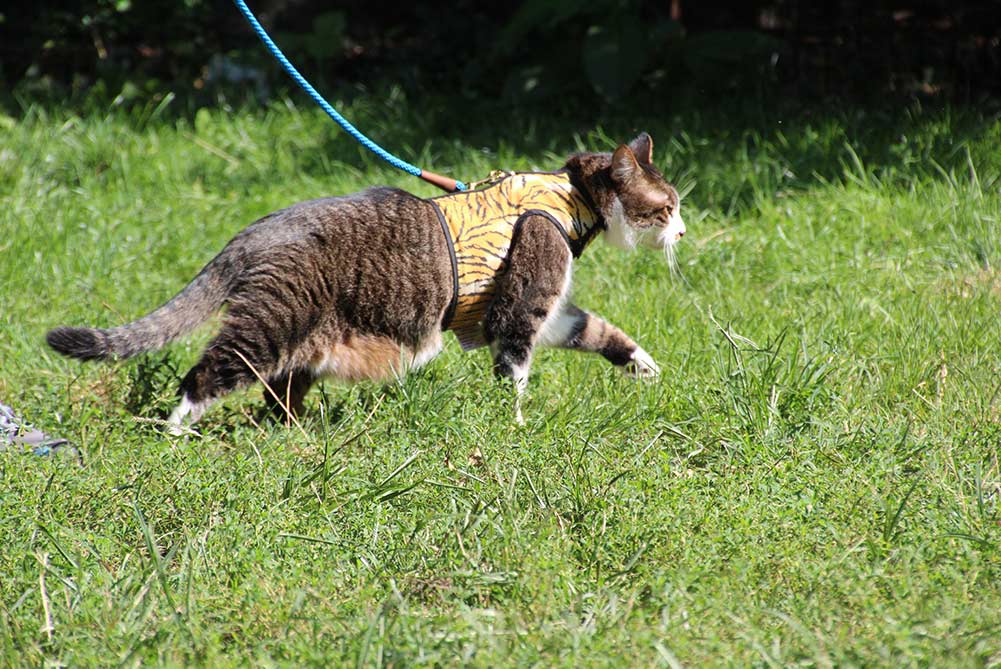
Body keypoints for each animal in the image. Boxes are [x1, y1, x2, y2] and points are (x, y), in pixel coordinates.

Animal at [48, 132, 688, 428]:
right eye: (667, 208)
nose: (683, 233)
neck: (570, 195)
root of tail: (253, 231)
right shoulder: (522, 302)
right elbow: (516, 368)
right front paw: (517, 425)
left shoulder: (553, 313)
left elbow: (595, 330)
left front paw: (645, 366)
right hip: (269, 323)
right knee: (206, 373)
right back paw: (178, 433)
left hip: (306, 341)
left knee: (279, 393)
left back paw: (295, 436)